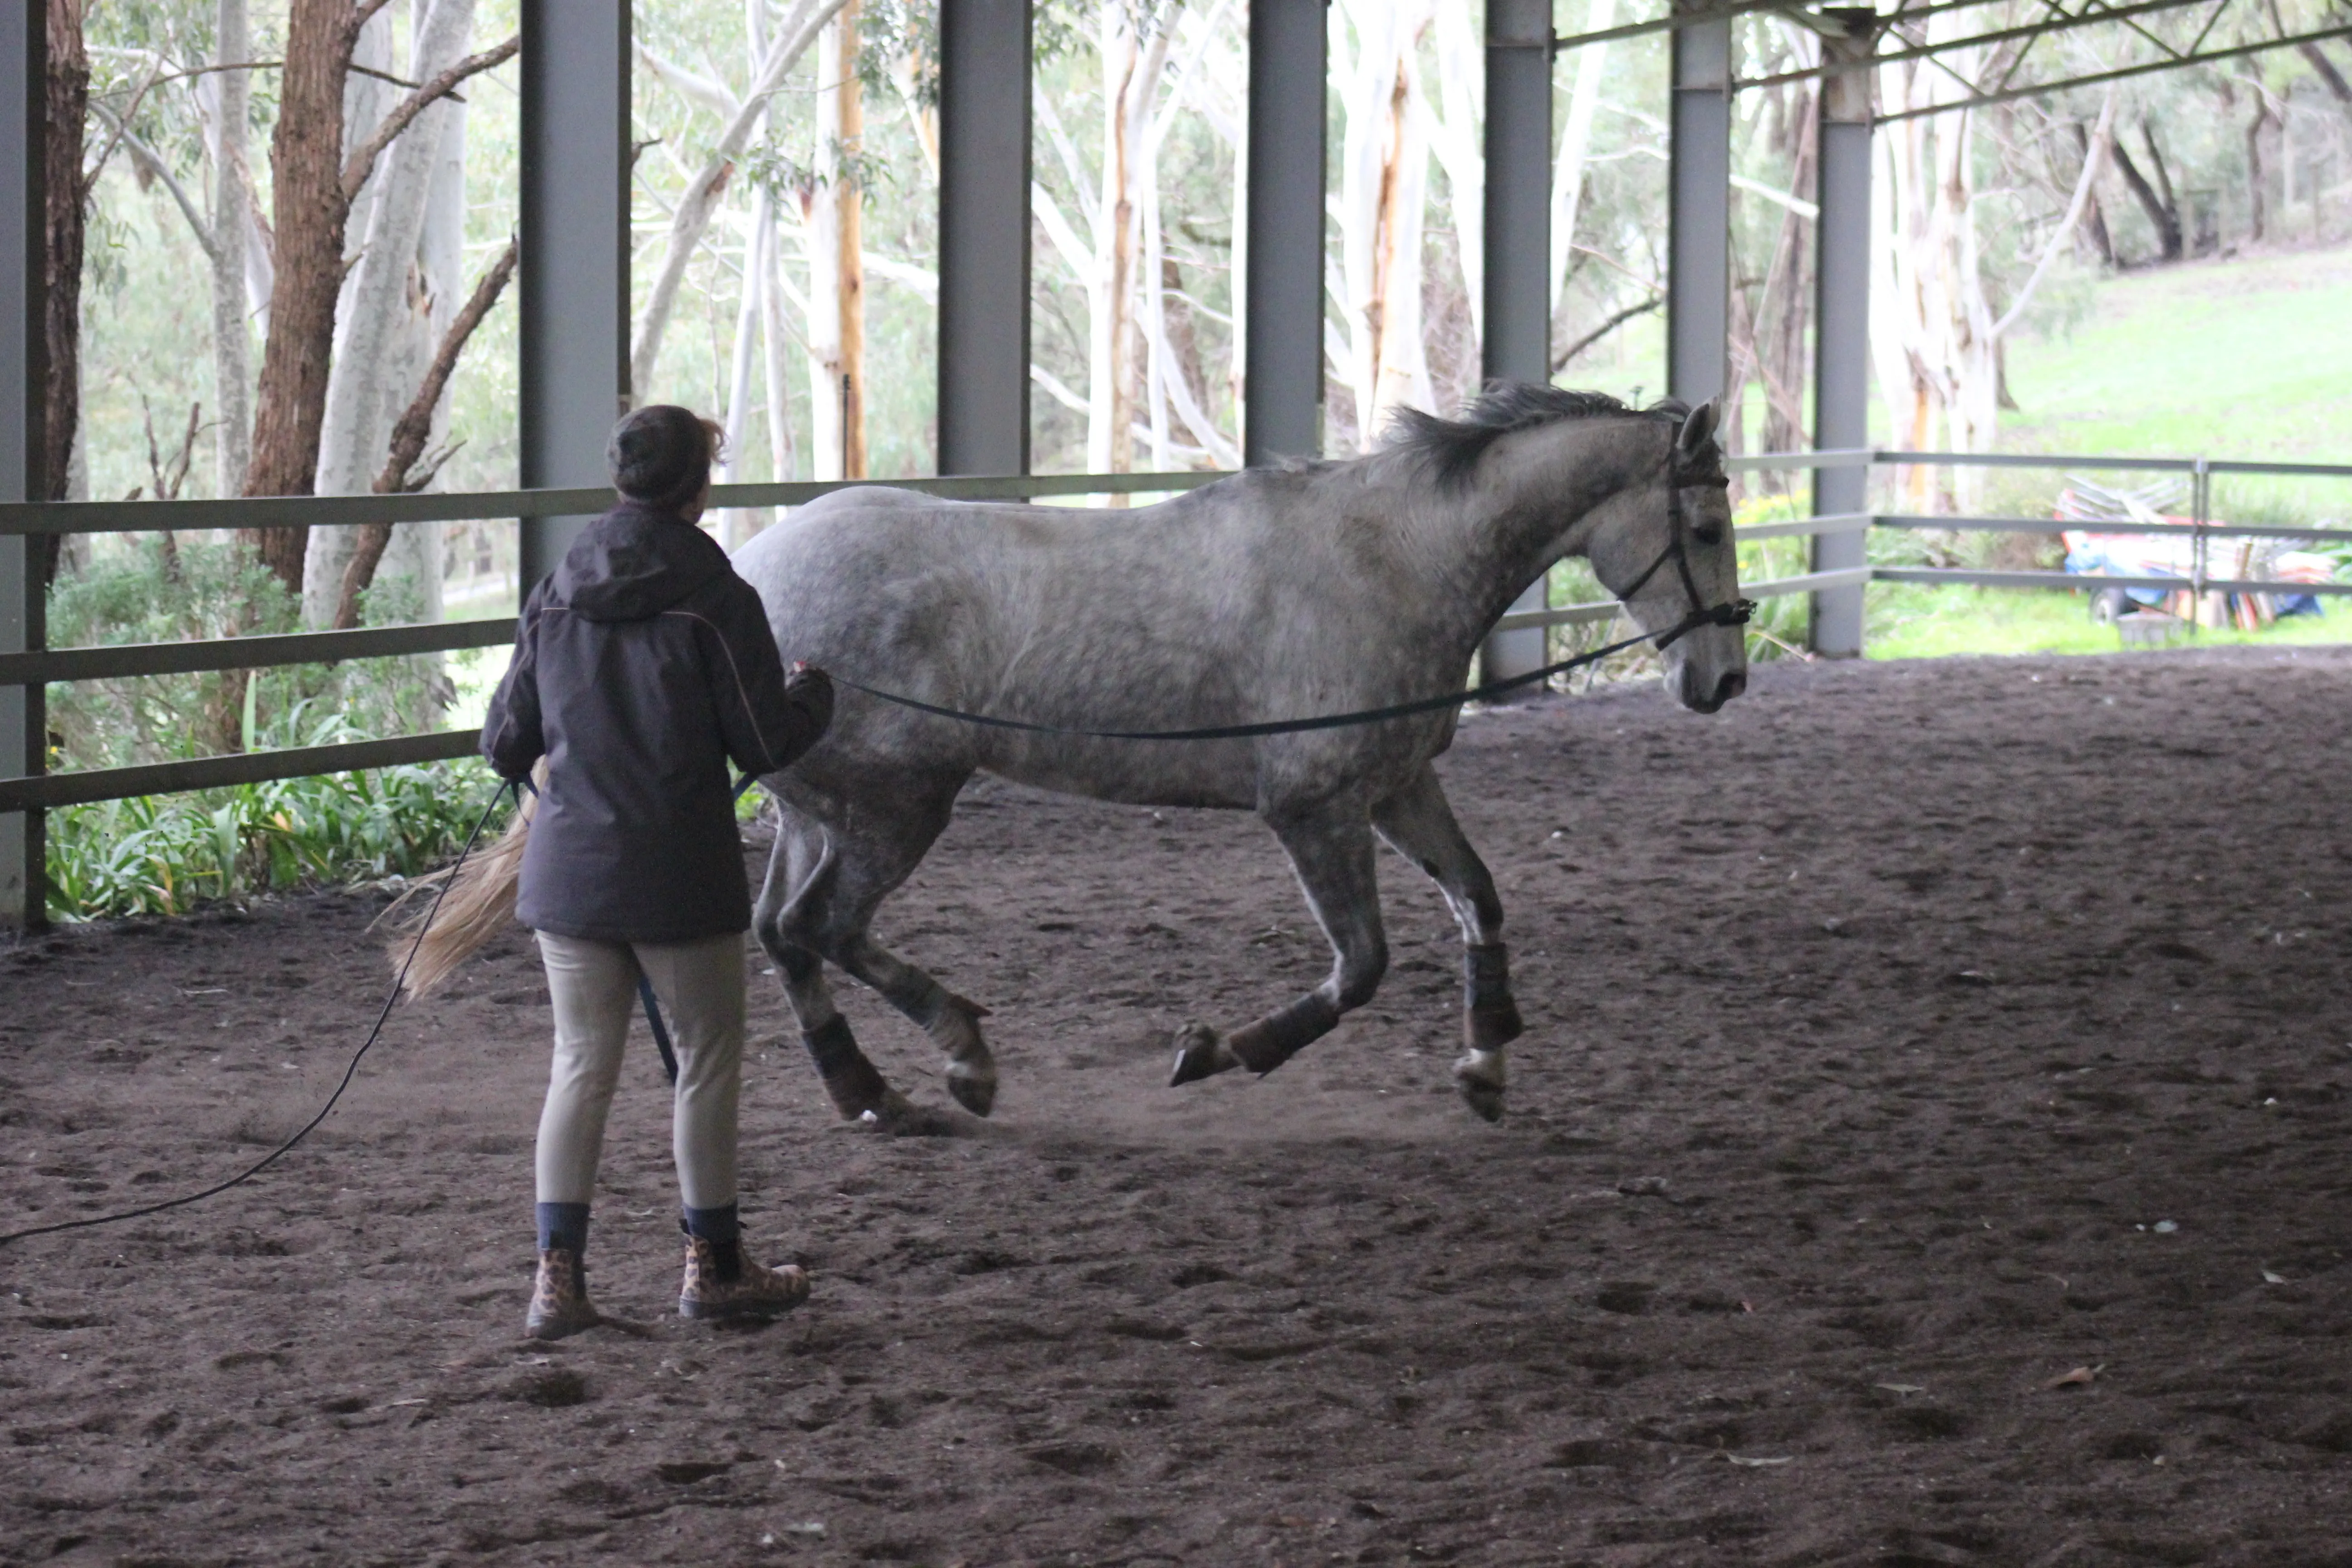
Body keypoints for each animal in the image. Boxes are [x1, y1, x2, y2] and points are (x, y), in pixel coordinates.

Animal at [734, 390, 1749, 1128]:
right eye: (1706, 531)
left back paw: (867, 1089)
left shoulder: (1397, 787)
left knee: (782, 932)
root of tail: (748, 576)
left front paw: (1485, 1064)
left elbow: (1478, 898)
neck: (1393, 560)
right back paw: (964, 1061)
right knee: (827, 928)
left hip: (817, 815)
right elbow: (1361, 966)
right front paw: (1219, 1049)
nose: (1724, 679)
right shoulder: (1314, 810)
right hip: (899, 808)